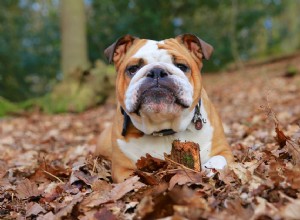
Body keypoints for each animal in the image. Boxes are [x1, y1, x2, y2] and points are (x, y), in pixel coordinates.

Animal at [97, 33, 233, 183]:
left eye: (181, 66)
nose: (157, 71)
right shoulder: (122, 169)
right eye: (132, 69)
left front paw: (209, 170)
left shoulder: (223, 150)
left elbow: (219, 159)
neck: (163, 129)